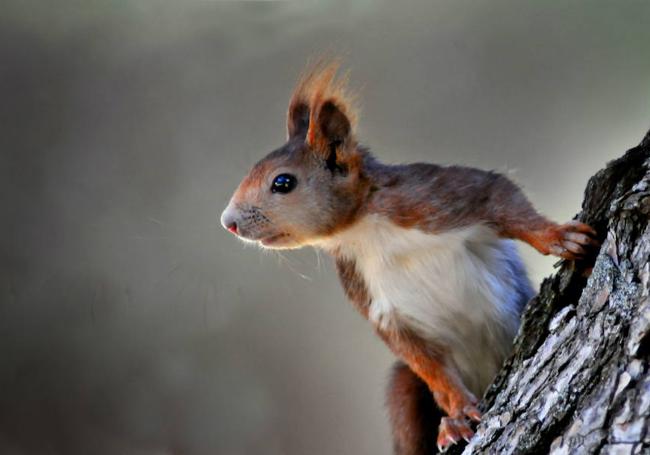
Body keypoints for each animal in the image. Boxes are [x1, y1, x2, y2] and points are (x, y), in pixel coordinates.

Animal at [220, 61, 596, 455]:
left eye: (283, 183)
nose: (228, 222)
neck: (364, 231)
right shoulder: (373, 298)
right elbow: (421, 358)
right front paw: (458, 411)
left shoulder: (437, 196)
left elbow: (505, 201)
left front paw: (558, 236)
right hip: (404, 388)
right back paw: (448, 426)